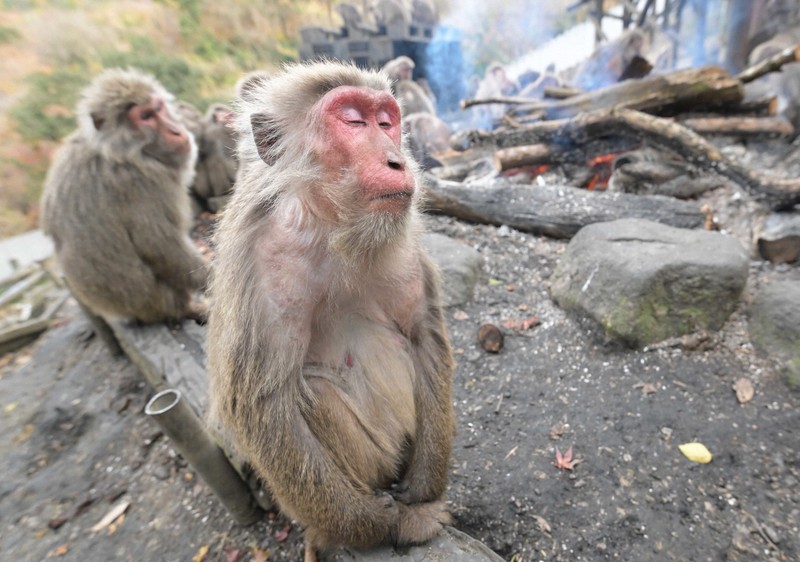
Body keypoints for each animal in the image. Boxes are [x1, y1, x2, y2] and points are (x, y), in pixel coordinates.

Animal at [206, 61, 456, 560]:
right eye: (353, 121)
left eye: (387, 121)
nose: (396, 160)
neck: (335, 226)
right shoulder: (262, 259)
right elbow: (264, 403)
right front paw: (378, 524)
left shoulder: (400, 239)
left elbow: (423, 336)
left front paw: (422, 491)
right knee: (314, 391)